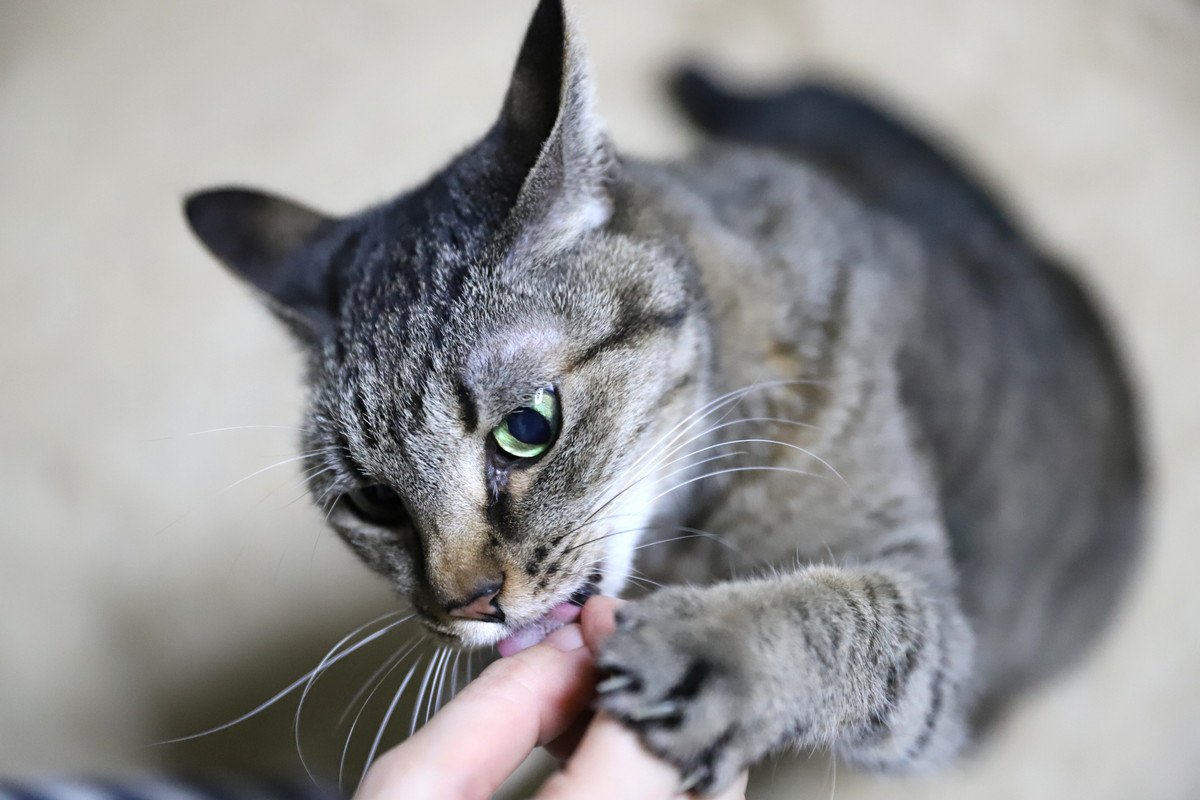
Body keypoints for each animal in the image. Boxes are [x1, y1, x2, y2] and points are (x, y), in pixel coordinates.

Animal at [180, 0, 1142, 796]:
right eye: (374, 503)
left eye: (527, 428)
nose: (465, 606)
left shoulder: (934, 615)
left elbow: (854, 611)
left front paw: (718, 653)